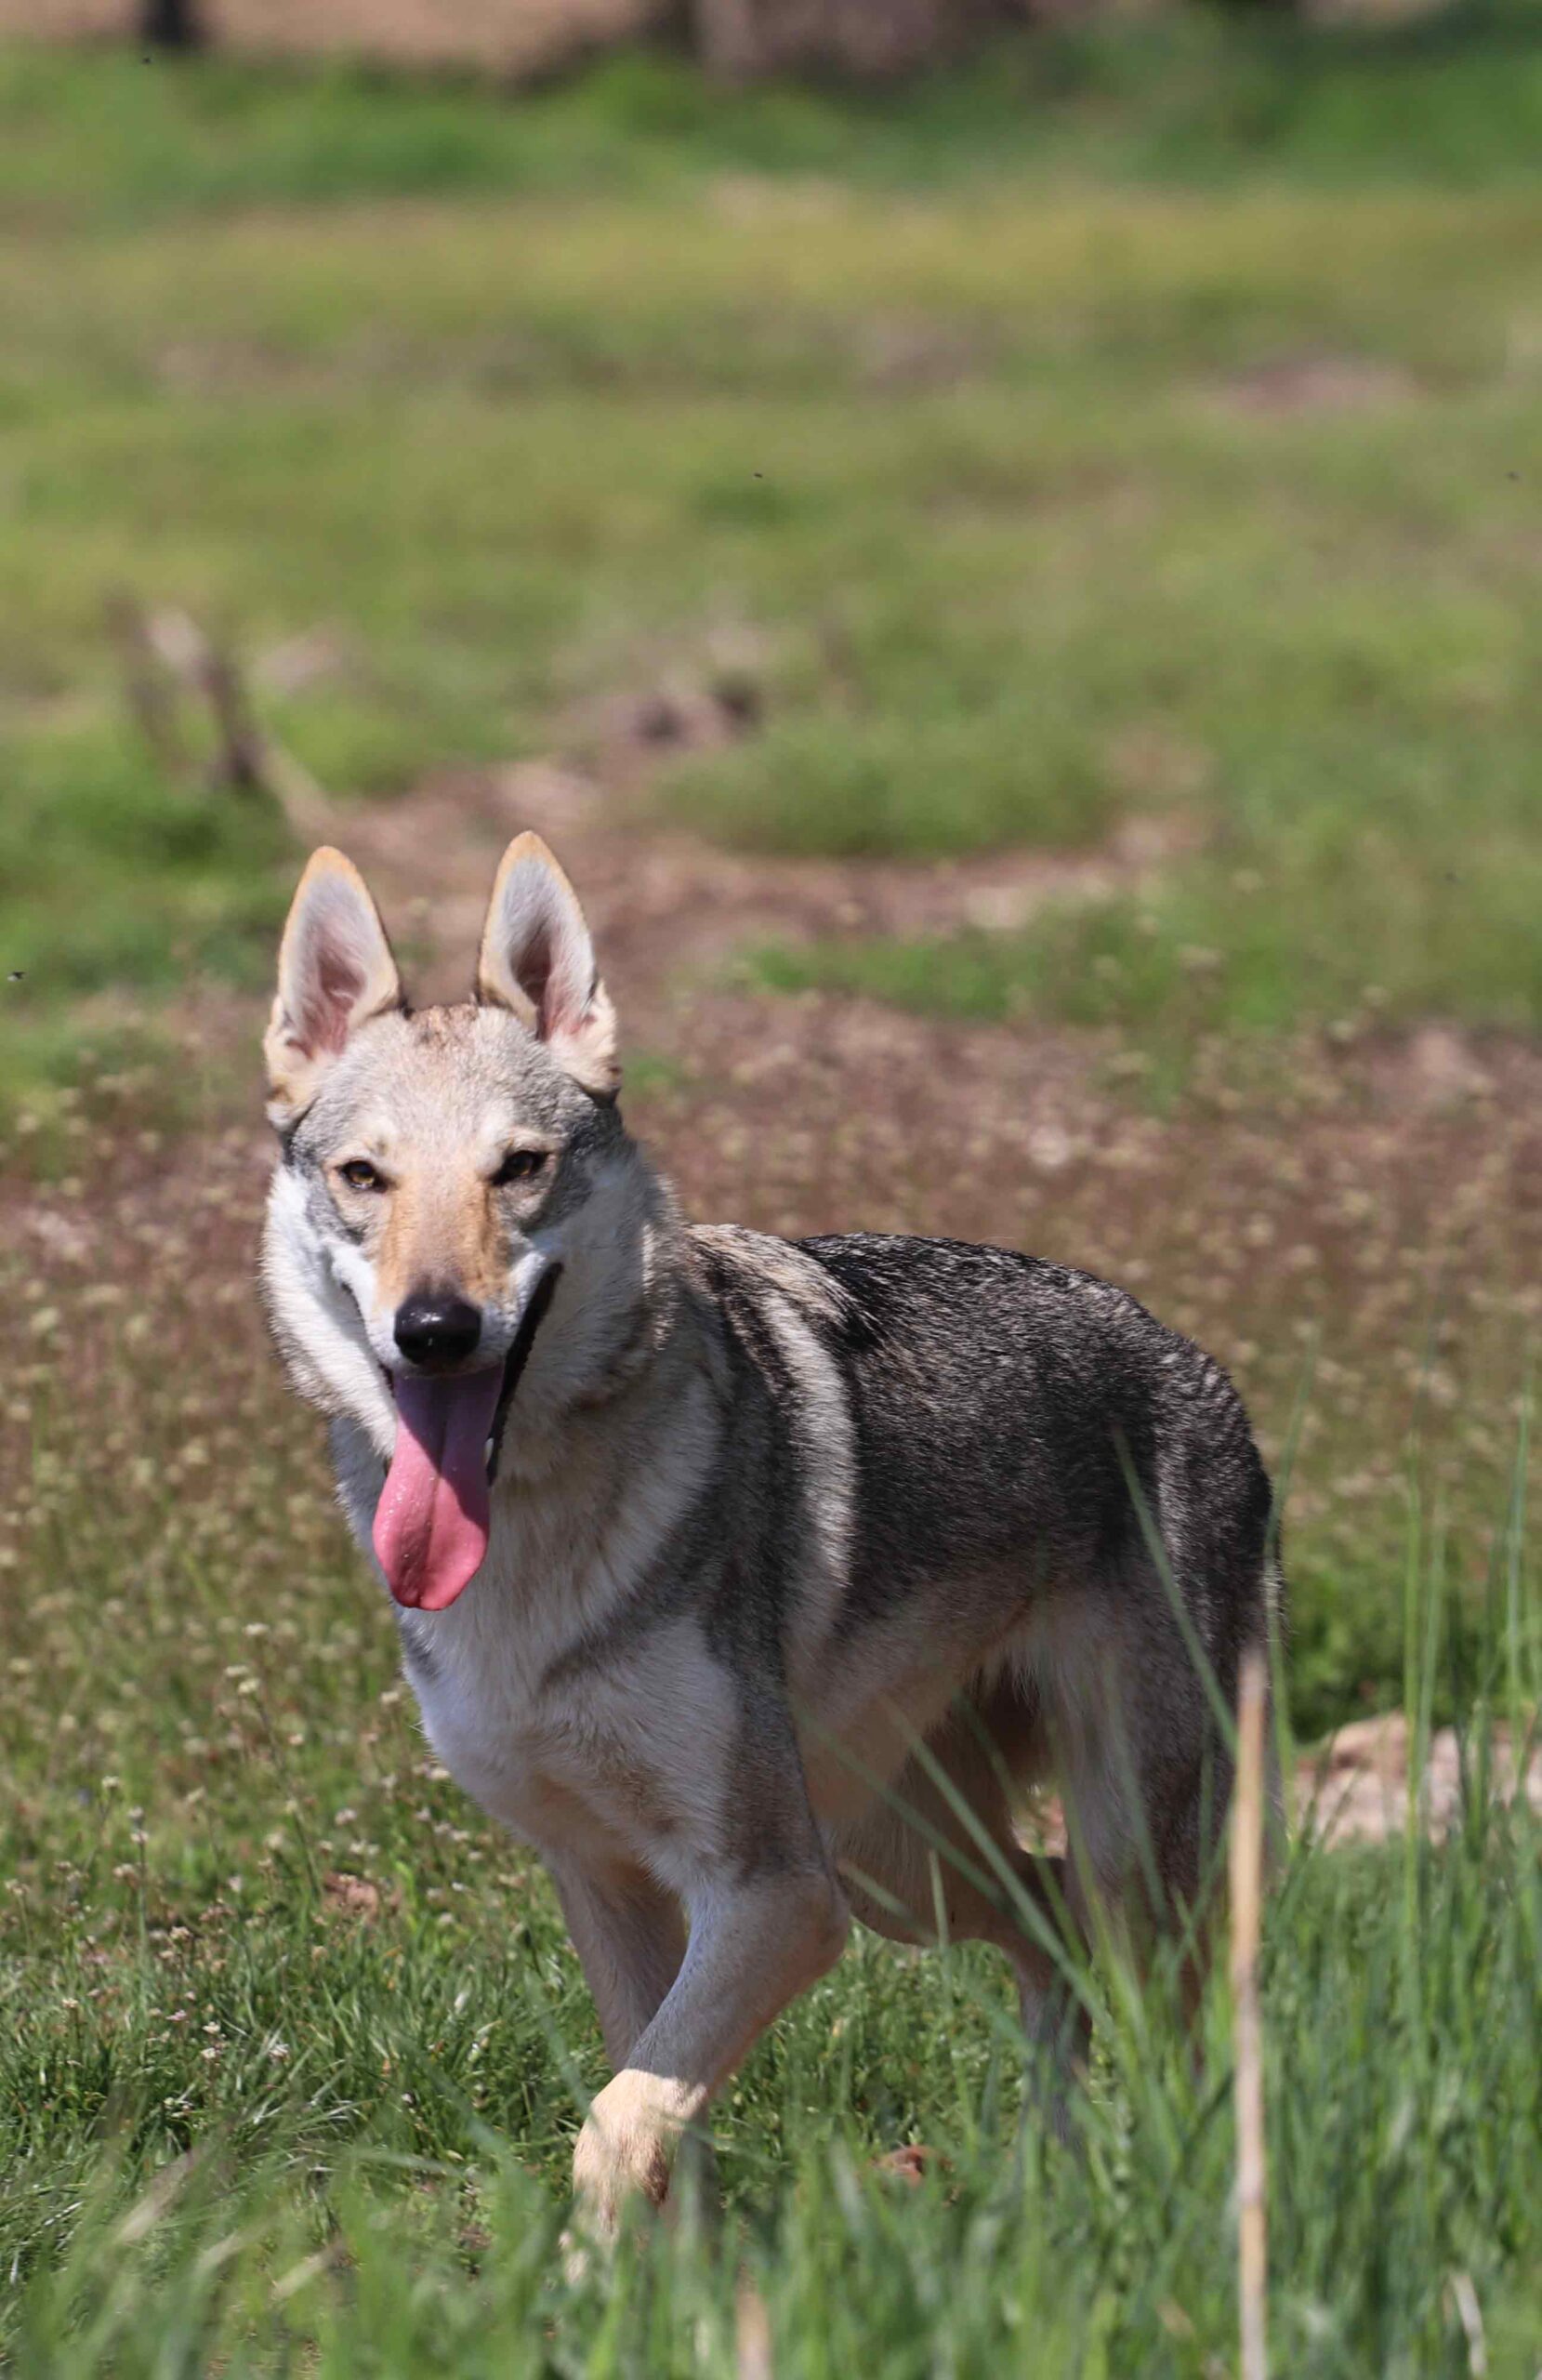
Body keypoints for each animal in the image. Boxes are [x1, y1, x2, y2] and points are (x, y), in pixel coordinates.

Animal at [261, 832, 1281, 2232]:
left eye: (517, 1168)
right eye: (364, 1179)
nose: (434, 1329)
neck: (528, 1559)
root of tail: (1200, 1363)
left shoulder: (772, 1897)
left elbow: (612, 2127)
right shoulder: (610, 1883)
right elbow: (657, 2125)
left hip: (1088, 1863)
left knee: (1155, 2021)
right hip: (895, 1865)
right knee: (1048, 1929)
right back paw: (1045, 2187)